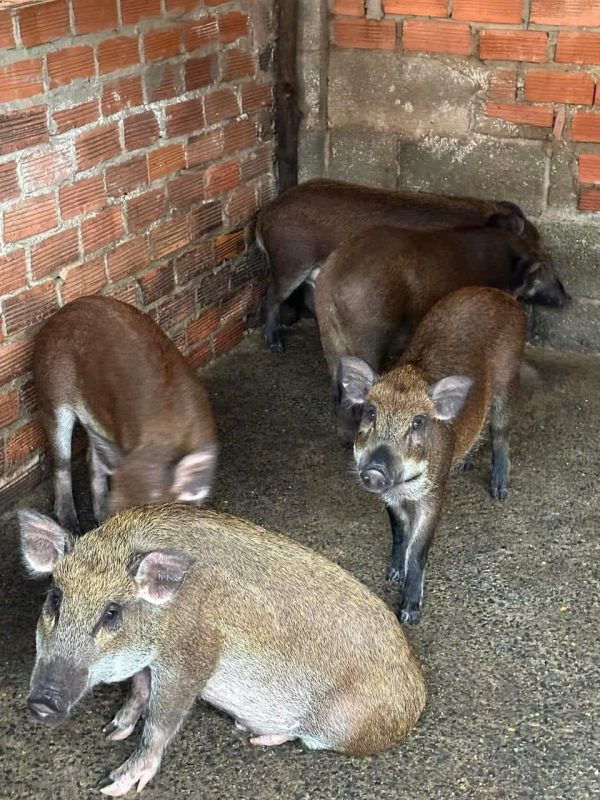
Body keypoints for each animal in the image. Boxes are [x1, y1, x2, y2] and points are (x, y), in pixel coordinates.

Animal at [19, 503, 427, 796]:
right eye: (55, 598)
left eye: (111, 613)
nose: (42, 701)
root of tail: (418, 697)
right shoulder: (150, 662)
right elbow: (138, 688)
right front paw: (112, 731)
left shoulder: (192, 657)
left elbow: (160, 720)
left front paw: (111, 785)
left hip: (343, 725)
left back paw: (253, 733)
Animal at [33, 296, 218, 533]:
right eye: (117, 510)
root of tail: (56, 316)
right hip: (51, 395)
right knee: (61, 462)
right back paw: (73, 525)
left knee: (92, 457)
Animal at [255, 178, 567, 352]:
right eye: (542, 258)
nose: (568, 298)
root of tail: (266, 212)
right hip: (290, 261)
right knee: (271, 296)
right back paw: (276, 346)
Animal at [314, 224, 561, 445]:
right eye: (543, 268)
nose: (564, 298)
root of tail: (330, 283)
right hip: (369, 332)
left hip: (330, 338)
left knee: (340, 394)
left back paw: (346, 439)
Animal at [338, 287, 526, 625]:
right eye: (370, 412)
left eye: (418, 422)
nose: (375, 470)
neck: (404, 487)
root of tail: (506, 295)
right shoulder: (390, 496)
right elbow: (399, 532)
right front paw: (392, 576)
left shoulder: (435, 492)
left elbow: (418, 549)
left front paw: (409, 616)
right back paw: (466, 465)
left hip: (508, 379)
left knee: (500, 432)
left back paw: (499, 491)